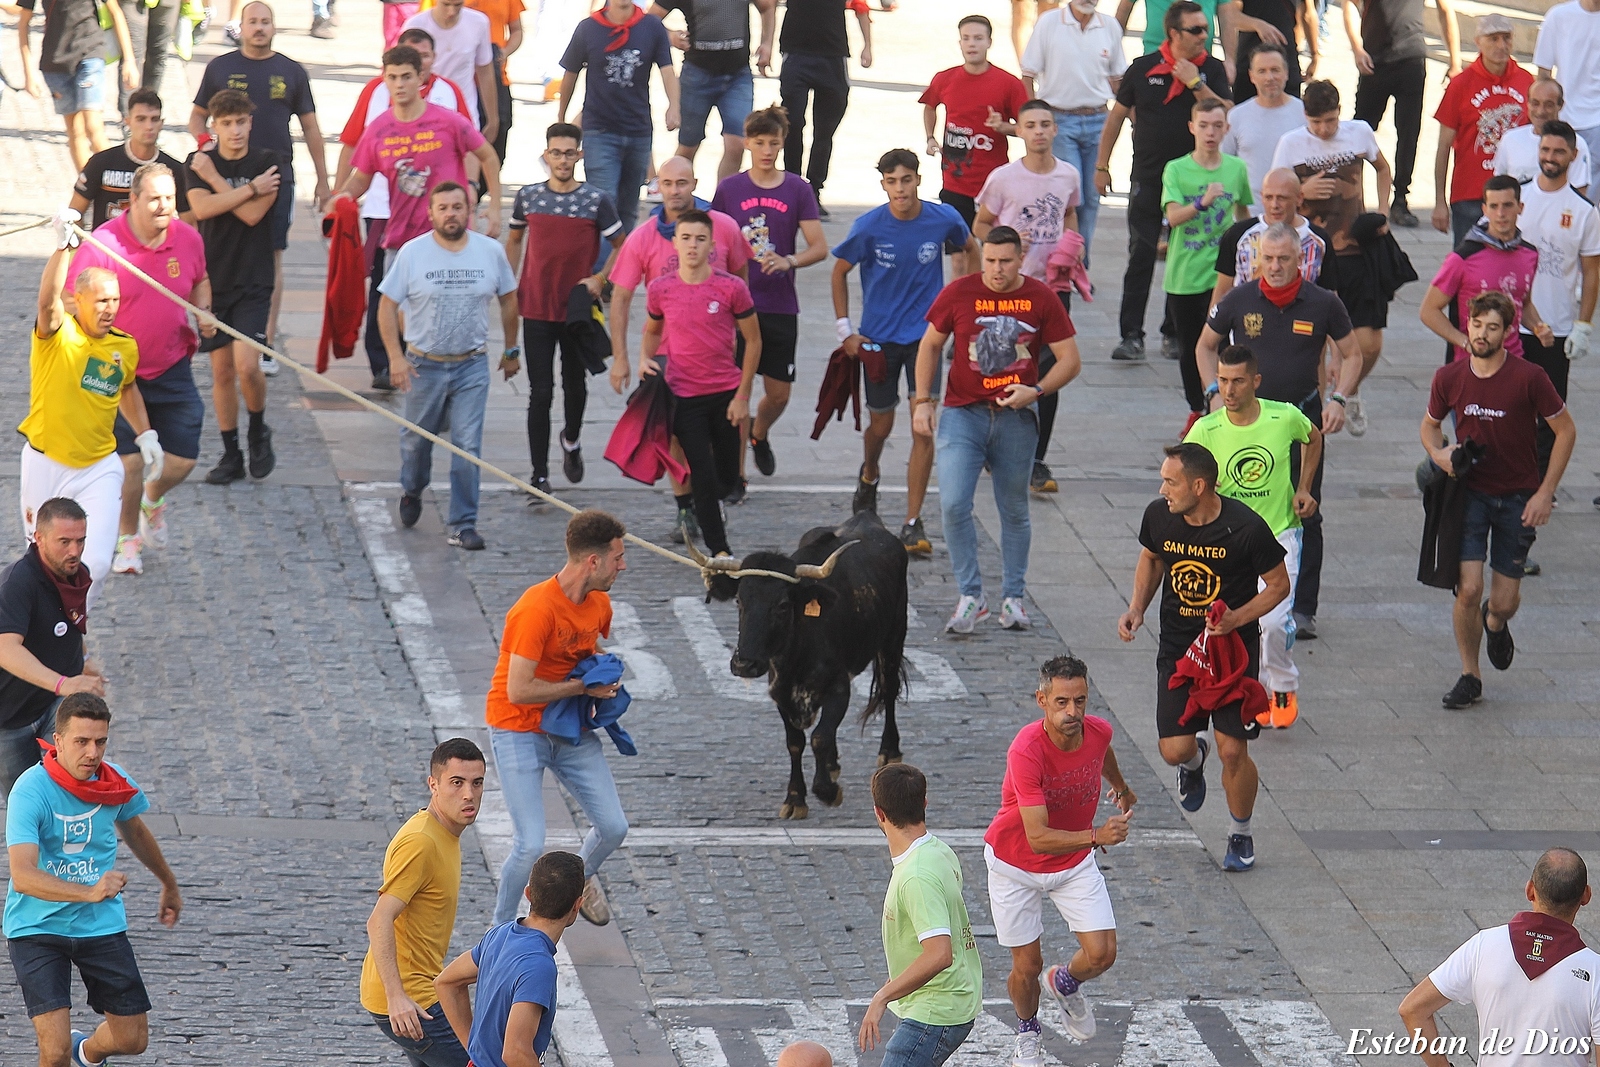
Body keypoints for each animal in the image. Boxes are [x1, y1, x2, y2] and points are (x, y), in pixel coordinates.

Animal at [691, 508, 908, 819]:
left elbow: (819, 737)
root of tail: (867, 516)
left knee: (889, 690)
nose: (744, 664)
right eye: (739, 601)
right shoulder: (780, 693)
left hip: (894, 636)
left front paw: (827, 791)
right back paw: (832, 764)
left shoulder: (838, 688)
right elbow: (796, 743)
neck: (797, 653)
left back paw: (889, 751)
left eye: (782, 605)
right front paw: (796, 797)